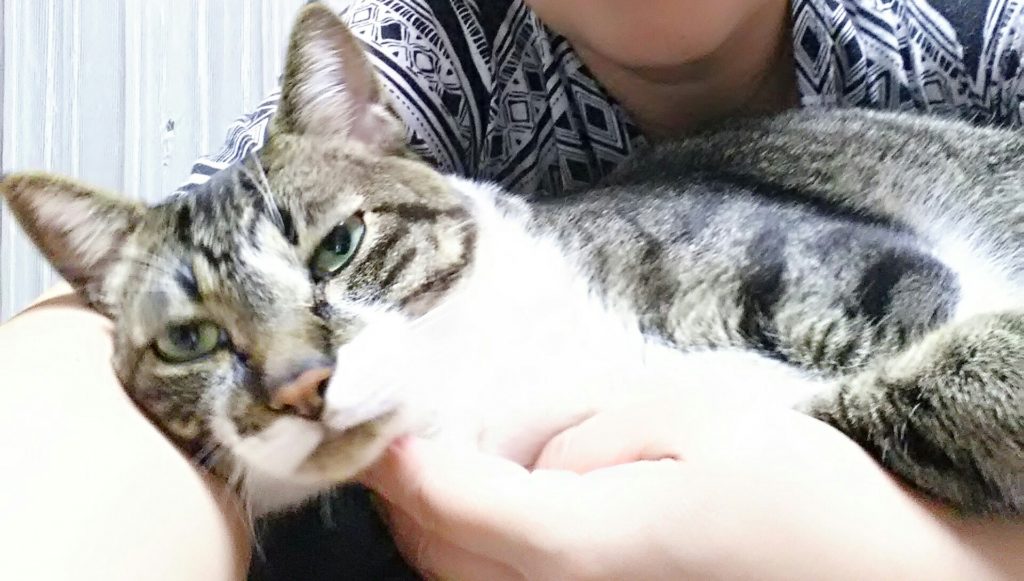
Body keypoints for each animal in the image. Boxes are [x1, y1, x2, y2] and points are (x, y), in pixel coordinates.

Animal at [3, 2, 1023, 518]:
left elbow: (937, 370)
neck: (488, 374)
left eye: (339, 245)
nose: (297, 385)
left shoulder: (875, 278)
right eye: (191, 340)